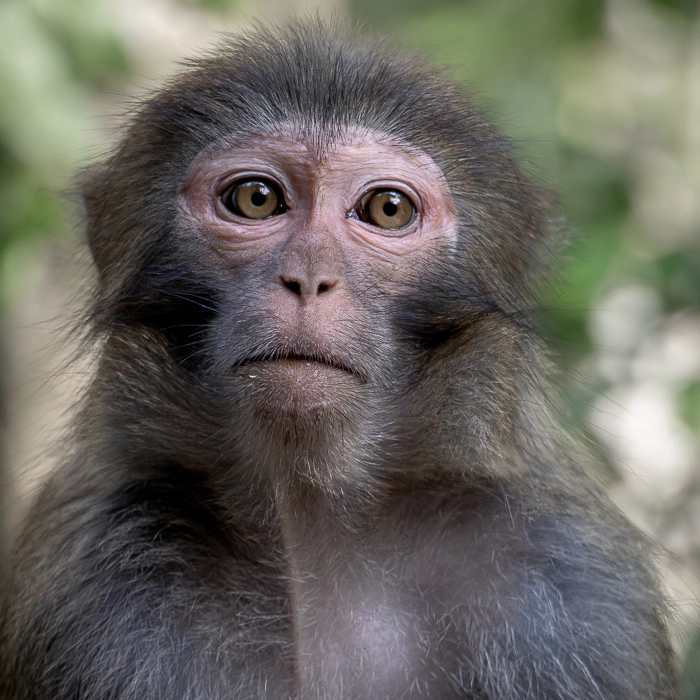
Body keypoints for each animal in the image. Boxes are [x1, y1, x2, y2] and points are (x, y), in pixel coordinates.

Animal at [0, 21, 677, 700]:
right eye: (255, 199)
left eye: (388, 209)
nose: (309, 277)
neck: (313, 519)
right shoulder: (88, 593)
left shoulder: (570, 593)